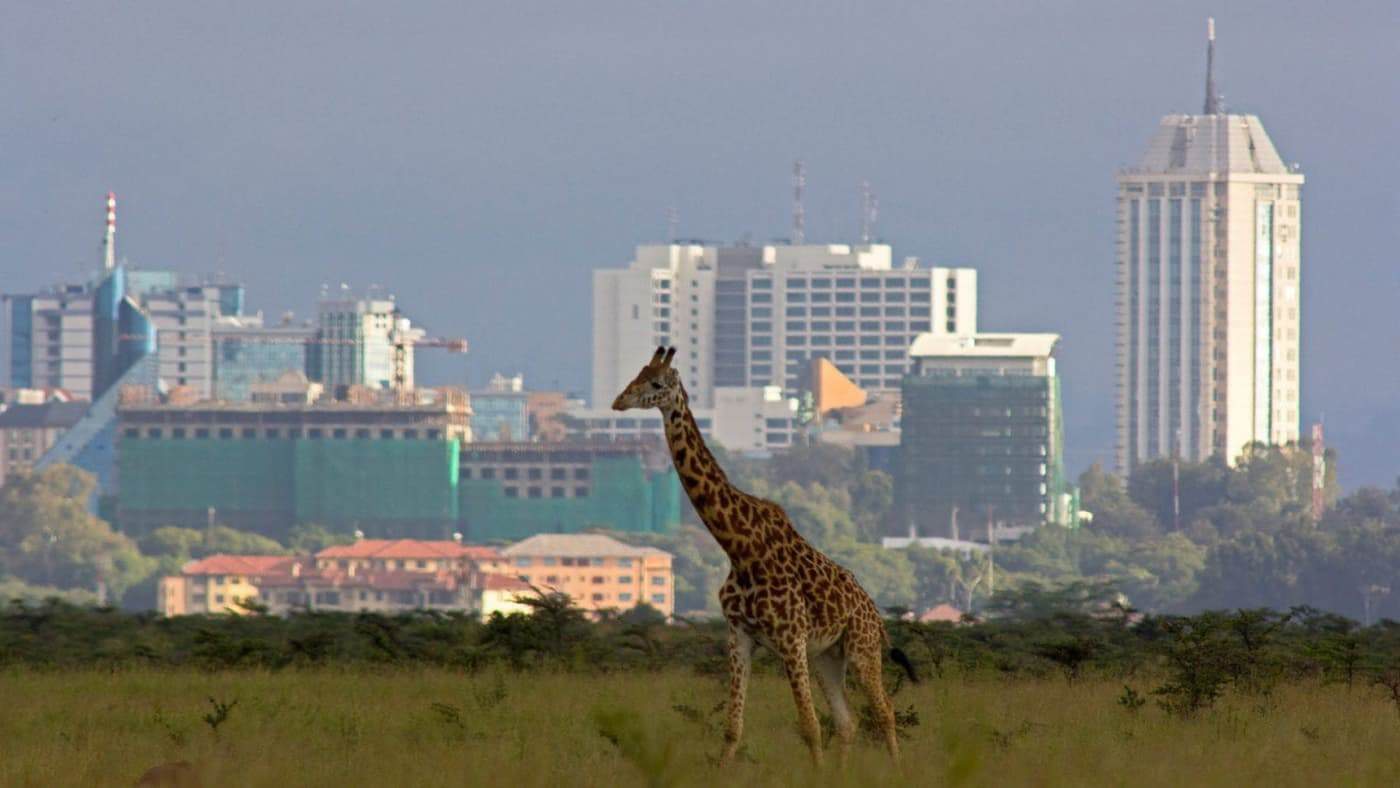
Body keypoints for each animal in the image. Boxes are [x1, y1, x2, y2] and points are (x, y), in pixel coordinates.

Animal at [612, 346, 918, 765]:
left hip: (861, 648)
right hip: (827, 656)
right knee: (848, 722)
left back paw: (897, 769)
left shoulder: (791, 640)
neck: (740, 548)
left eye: (657, 383)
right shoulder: (739, 635)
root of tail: (874, 611)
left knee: (884, 712)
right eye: (637, 375)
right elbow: (733, 727)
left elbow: (809, 726)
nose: (618, 401)